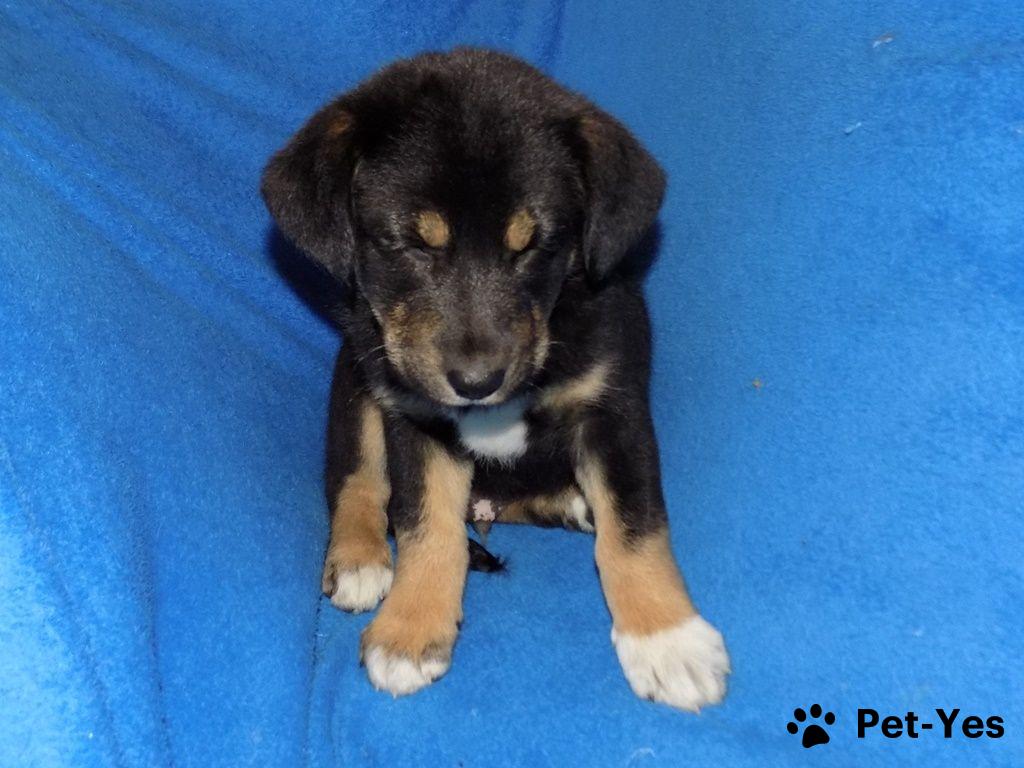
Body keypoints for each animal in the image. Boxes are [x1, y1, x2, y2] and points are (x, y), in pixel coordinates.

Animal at [261, 48, 729, 712]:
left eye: (534, 246)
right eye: (409, 243)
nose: (477, 382)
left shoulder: (613, 410)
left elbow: (636, 525)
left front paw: (667, 638)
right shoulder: (414, 420)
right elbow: (425, 524)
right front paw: (410, 631)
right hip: (356, 376)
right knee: (355, 480)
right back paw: (359, 558)